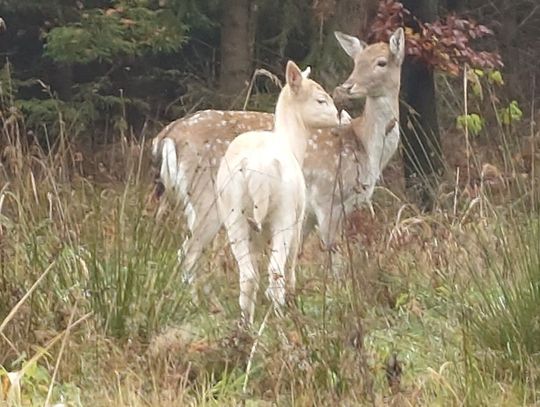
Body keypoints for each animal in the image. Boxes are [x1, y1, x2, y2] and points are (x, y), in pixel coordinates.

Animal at [215, 60, 338, 326]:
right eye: (320, 100)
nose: (339, 118)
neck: (294, 144)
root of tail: (254, 167)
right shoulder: (299, 219)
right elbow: (291, 264)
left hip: (234, 214)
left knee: (248, 273)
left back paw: (246, 325)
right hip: (284, 212)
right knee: (276, 270)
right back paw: (281, 317)